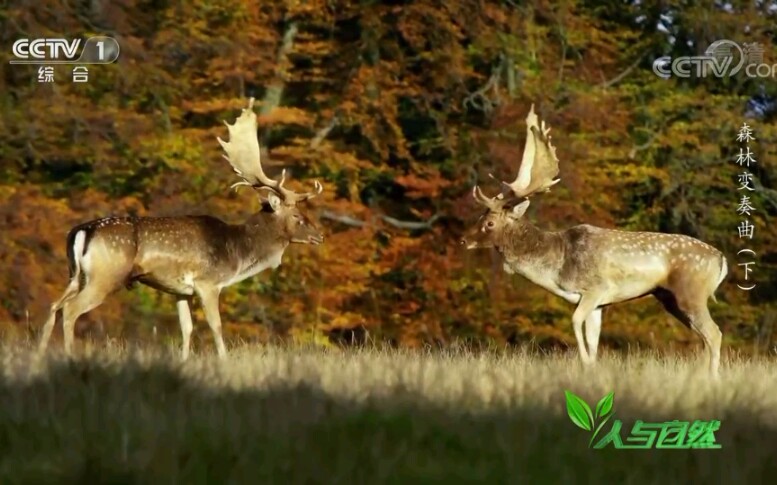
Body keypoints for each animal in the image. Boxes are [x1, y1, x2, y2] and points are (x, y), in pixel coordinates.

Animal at [38, 98, 322, 358]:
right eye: (297, 215)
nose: (319, 235)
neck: (237, 254)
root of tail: (81, 232)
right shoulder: (208, 282)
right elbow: (216, 326)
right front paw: (223, 361)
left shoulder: (180, 291)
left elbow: (186, 329)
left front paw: (184, 361)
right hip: (106, 275)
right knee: (70, 310)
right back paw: (69, 355)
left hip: (76, 275)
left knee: (53, 306)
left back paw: (40, 354)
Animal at [458, 104, 724, 376]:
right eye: (479, 216)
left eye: (489, 223)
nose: (463, 240)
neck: (557, 267)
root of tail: (721, 260)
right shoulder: (598, 304)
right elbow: (593, 338)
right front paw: (593, 366)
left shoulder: (596, 288)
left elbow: (575, 321)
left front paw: (584, 363)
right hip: (669, 298)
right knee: (704, 336)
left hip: (691, 292)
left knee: (714, 333)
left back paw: (713, 377)